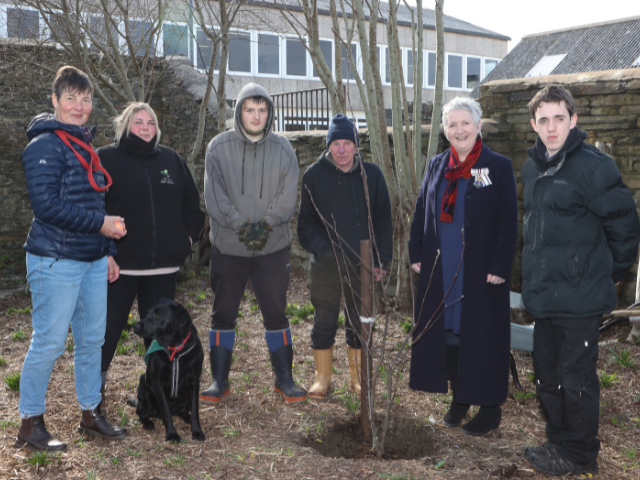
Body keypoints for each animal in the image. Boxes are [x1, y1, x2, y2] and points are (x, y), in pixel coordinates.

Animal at [132, 300, 205, 442]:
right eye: (147, 313)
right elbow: (166, 411)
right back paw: (147, 422)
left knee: (184, 411)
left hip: (186, 399)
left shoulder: (194, 381)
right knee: (141, 412)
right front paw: (172, 434)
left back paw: (186, 417)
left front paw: (197, 430)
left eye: (157, 316)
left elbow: (195, 411)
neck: (175, 350)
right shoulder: (157, 383)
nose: (135, 326)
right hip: (143, 389)